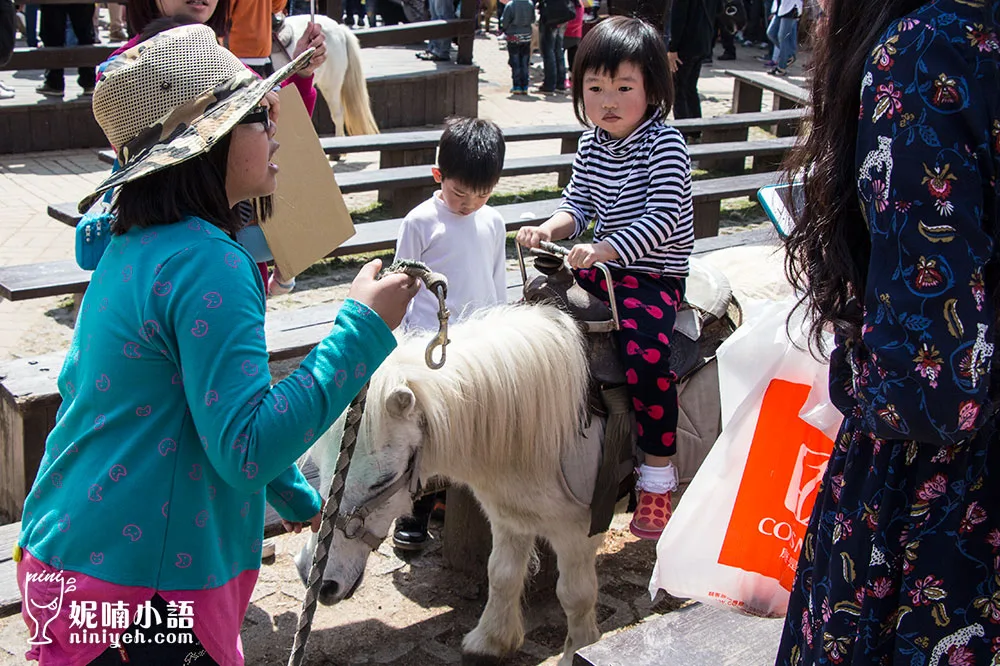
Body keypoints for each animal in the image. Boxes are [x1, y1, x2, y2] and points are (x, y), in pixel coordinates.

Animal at [296, 304, 604, 664]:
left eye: (382, 482)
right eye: (320, 467)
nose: (314, 579)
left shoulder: (577, 531)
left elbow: (575, 596)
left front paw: (579, 652)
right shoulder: (510, 517)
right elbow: (501, 574)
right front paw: (491, 640)